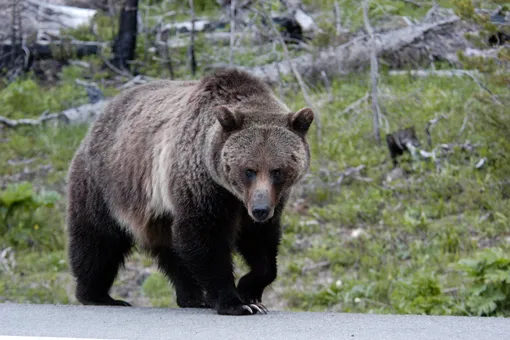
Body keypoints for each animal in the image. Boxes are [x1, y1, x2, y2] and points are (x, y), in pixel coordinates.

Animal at [66, 68, 314, 316]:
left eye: (277, 170)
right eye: (249, 170)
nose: (260, 209)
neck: (232, 193)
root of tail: (102, 113)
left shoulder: (268, 200)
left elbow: (261, 242)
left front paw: (250, 292)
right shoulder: (202, 185)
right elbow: (204, 236)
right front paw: (236, 303)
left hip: (157, 211)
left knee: (171, 250)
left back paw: (192, 297)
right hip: (104, 183)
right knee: (98, 239)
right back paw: (98, 295)